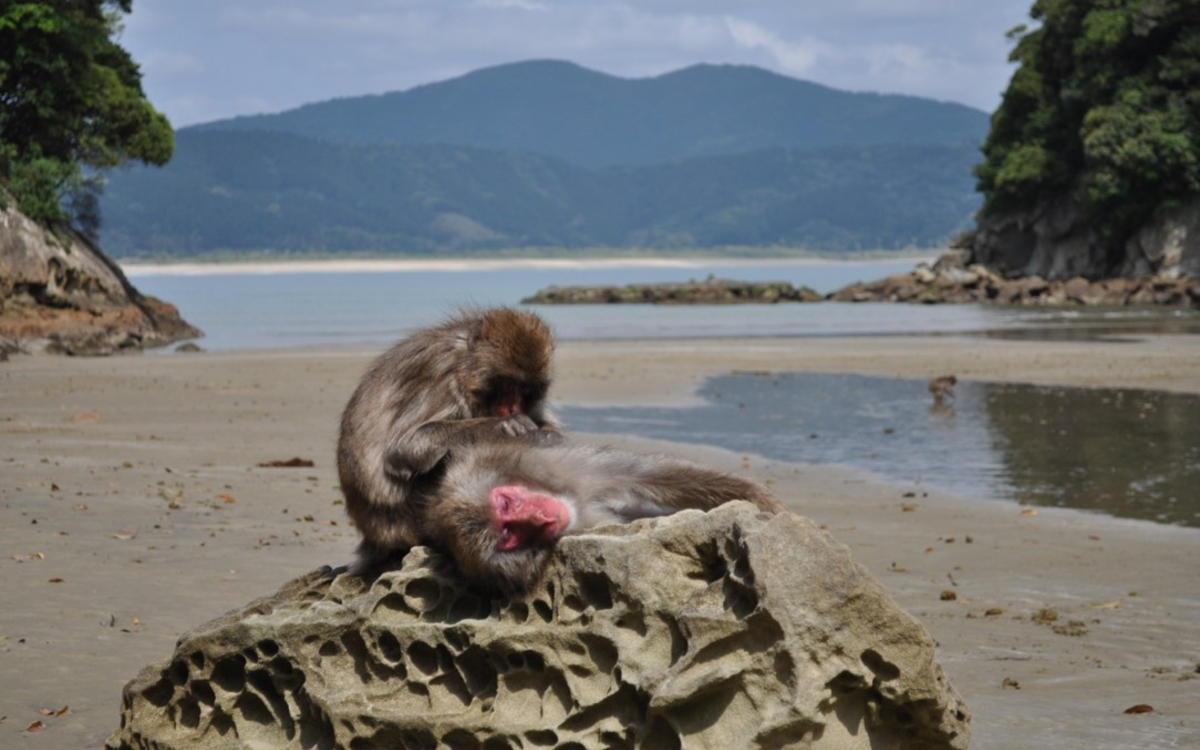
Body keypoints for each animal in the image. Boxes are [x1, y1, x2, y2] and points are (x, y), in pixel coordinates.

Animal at [337, 308, 562, 573]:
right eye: (508, 383)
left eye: (526, 389)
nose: (511, 408)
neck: (465, 367)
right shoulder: (440, 375)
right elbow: (404, 449)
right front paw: (504, 426)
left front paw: (546, 435)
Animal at [421, 440, 786, 593]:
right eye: (510, 534)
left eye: (507, 504)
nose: (540, 518)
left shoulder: (565, 468)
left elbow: (647, 475)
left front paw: (768, 504)